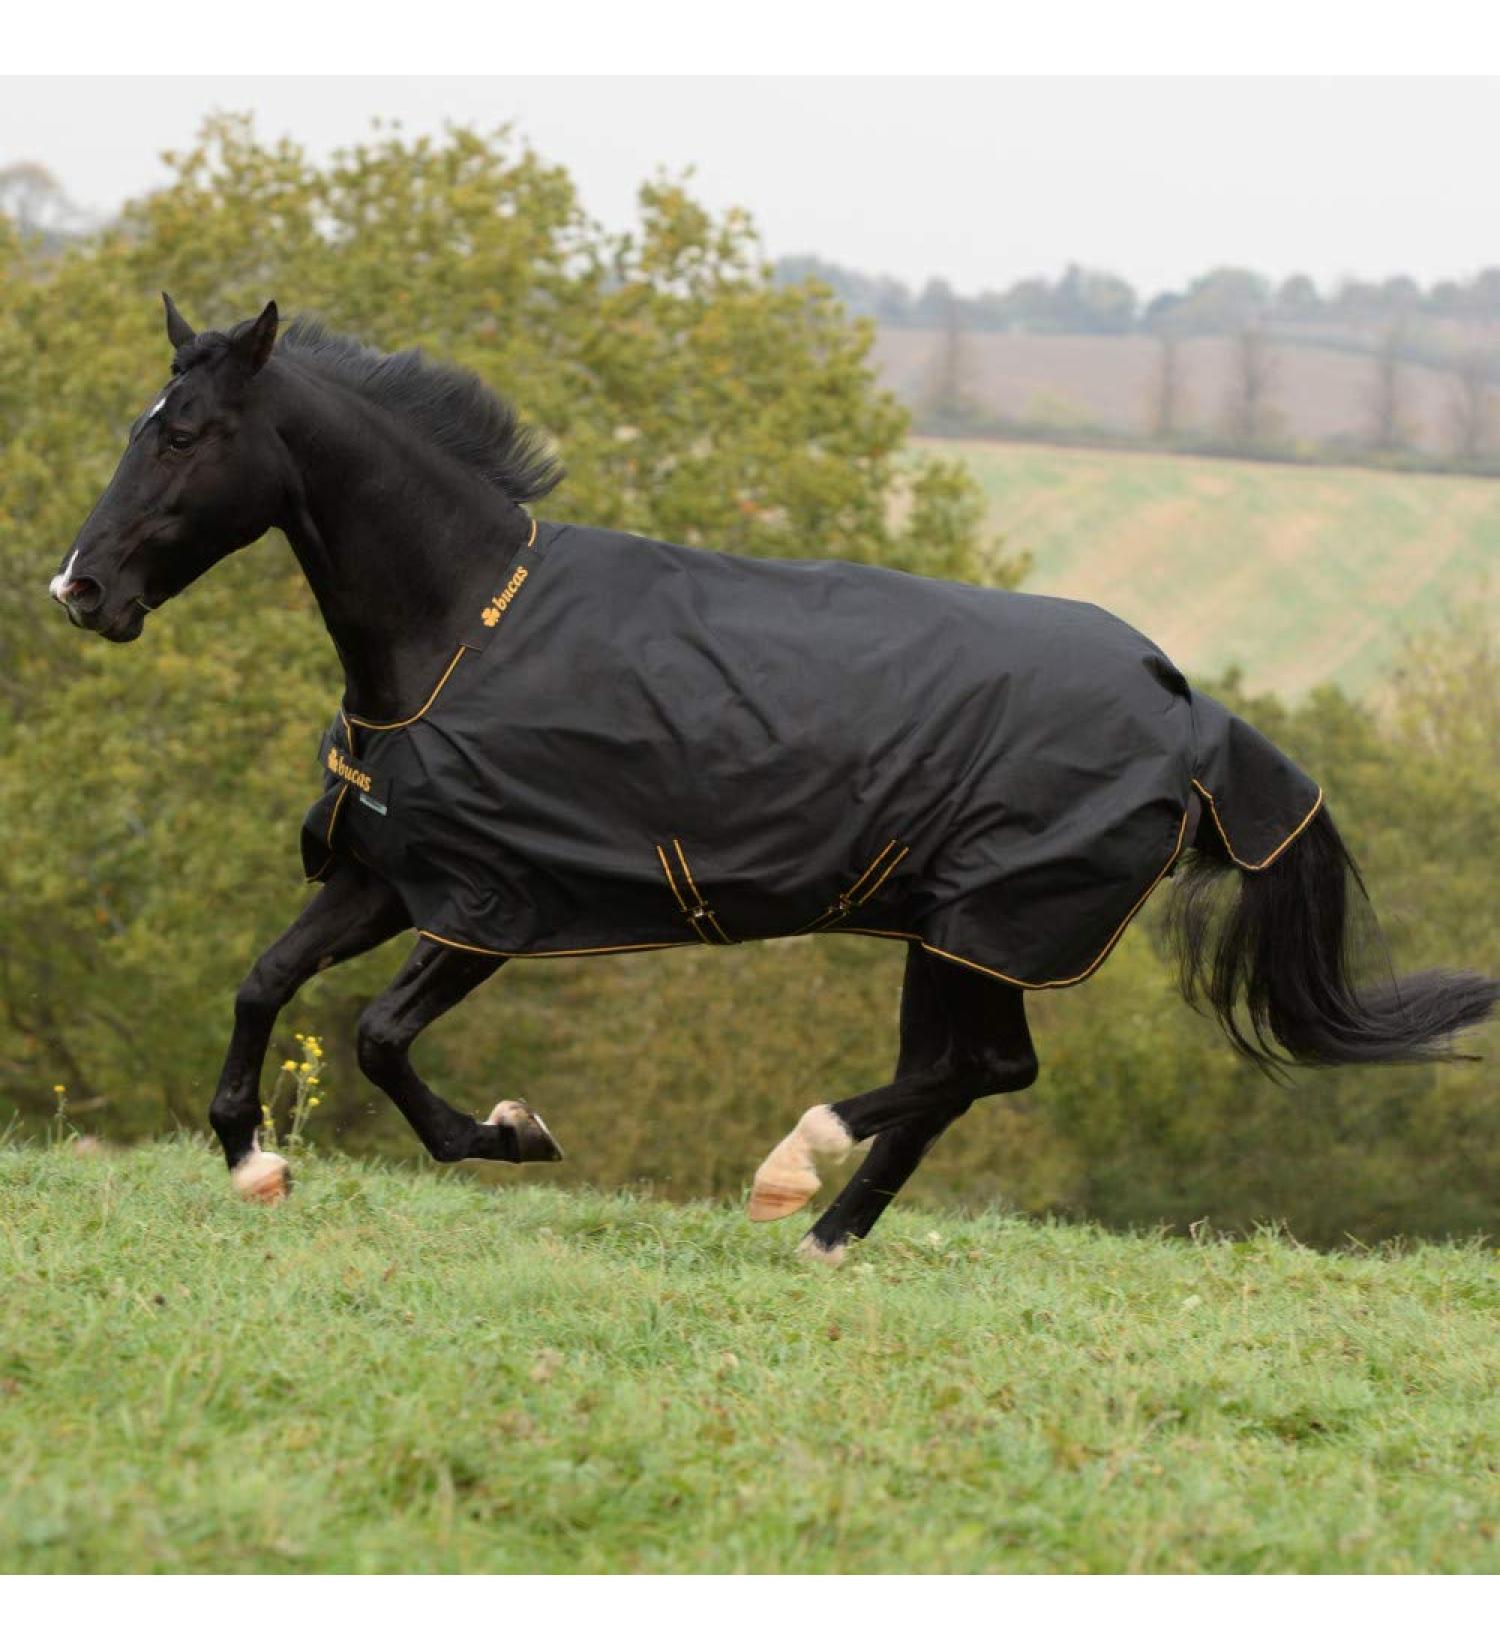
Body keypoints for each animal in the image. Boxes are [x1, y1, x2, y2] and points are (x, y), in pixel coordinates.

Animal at [48, 297, 1498, 1262]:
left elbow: (379, 1039)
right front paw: (253, 1162)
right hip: (951, 933)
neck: (466, 623)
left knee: (980, 1069)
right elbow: (262, 984)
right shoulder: (383, 876)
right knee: (967, 1071)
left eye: (185, 434)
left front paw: (516, 1131)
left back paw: (792, 1167)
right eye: (141, 423)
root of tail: (1193, 710)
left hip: (997, 919)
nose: (81, 590)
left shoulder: (489, 903)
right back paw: (824, 1234)